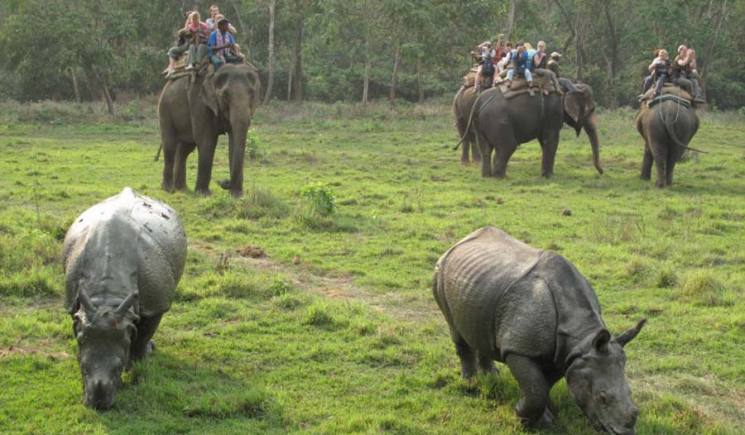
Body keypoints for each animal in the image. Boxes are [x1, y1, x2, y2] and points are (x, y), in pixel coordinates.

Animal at [157, 63, 262, 198]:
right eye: (225, 95)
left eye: (252, 94)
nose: (224, 182)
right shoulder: (199, 102)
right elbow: (207, 141)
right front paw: (204, 194)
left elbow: (233, 141)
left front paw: (237, 196)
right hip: (164, 109)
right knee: (170, 145)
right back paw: (169, 189)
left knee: (185, 149)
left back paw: (182, 189)